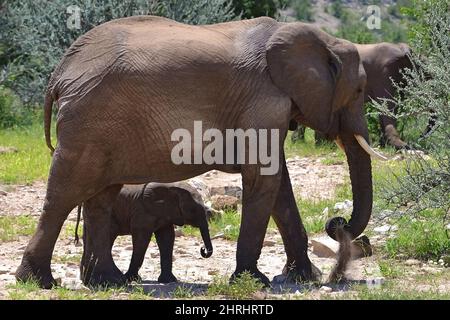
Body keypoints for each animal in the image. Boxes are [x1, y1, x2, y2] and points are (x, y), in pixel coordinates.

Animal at [78, 182, 214, 282]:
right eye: (193, 210)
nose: (203, 250)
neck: (172, 187)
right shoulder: (142, 211)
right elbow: (141, 239)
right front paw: (132, 279)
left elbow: (167, 238)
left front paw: (169, 281)